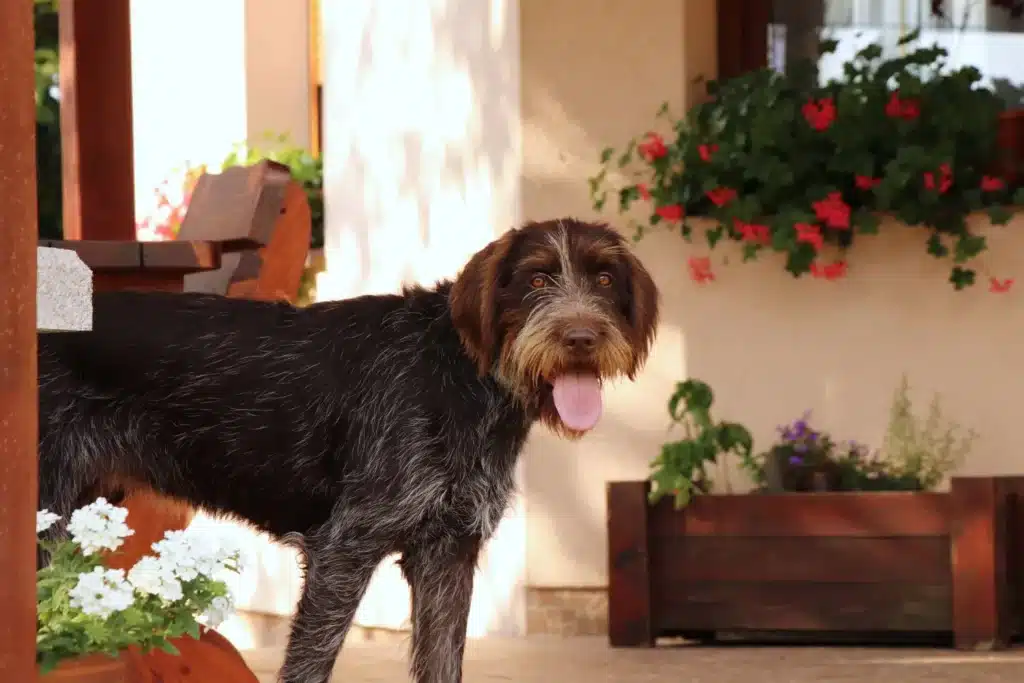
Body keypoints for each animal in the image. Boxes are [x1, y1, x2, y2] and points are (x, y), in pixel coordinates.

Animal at [36, 219, 659, 683]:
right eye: (535, 280)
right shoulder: (344, 549)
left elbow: (443, 663)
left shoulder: (448, 552)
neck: (460, 373)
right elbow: (310, 665)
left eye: (605, 278)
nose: (581, 338)